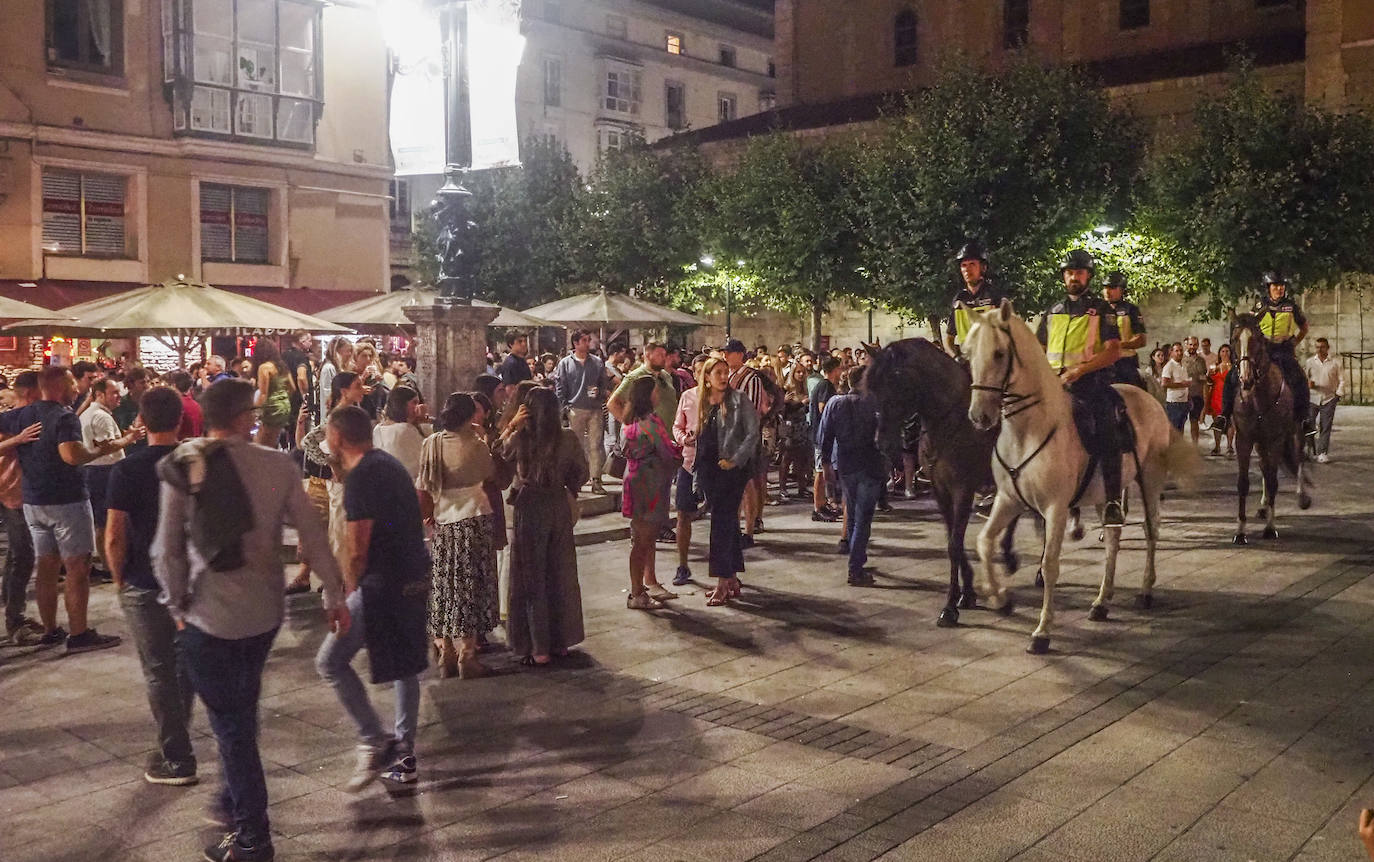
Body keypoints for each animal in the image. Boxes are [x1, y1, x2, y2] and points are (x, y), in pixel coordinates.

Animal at [862, 336, 1016, 626]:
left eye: (897, 382)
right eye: (872, 387)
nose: (882, 443)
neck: (951, 421)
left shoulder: (963, 489)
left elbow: (955, 543)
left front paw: (950, 607)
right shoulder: (940, 489)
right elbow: (951, 540)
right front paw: (966, 594)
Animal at [961, 302, 1198, 654]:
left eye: (1000, 354)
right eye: (967, 354)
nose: (979, 416)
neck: (1028, 430)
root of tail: (1150, 398)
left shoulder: (1055, 508)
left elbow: (1049, 564)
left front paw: (1042, 632)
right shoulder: (1009, 500)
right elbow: (984, 542)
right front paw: (1000, 598)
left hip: (1150, 479)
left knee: (1151, 529)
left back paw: (1145, 590)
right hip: (1106, 492)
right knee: (1113, 537)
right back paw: (1101, 602)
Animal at [1236, 313, 1308, 541]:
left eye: (1257, 340)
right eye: (1234, 340)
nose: (1246, 379)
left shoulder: (1276, 439)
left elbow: (1274, 480)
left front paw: (1270, 527)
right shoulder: (1244, 439)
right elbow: (1244, 483)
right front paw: (1240, 531)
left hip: (1296, 430)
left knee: (1298, 458)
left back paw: (1302, 497)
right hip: (1261, 442)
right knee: (1264, 467)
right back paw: (1263, 505)